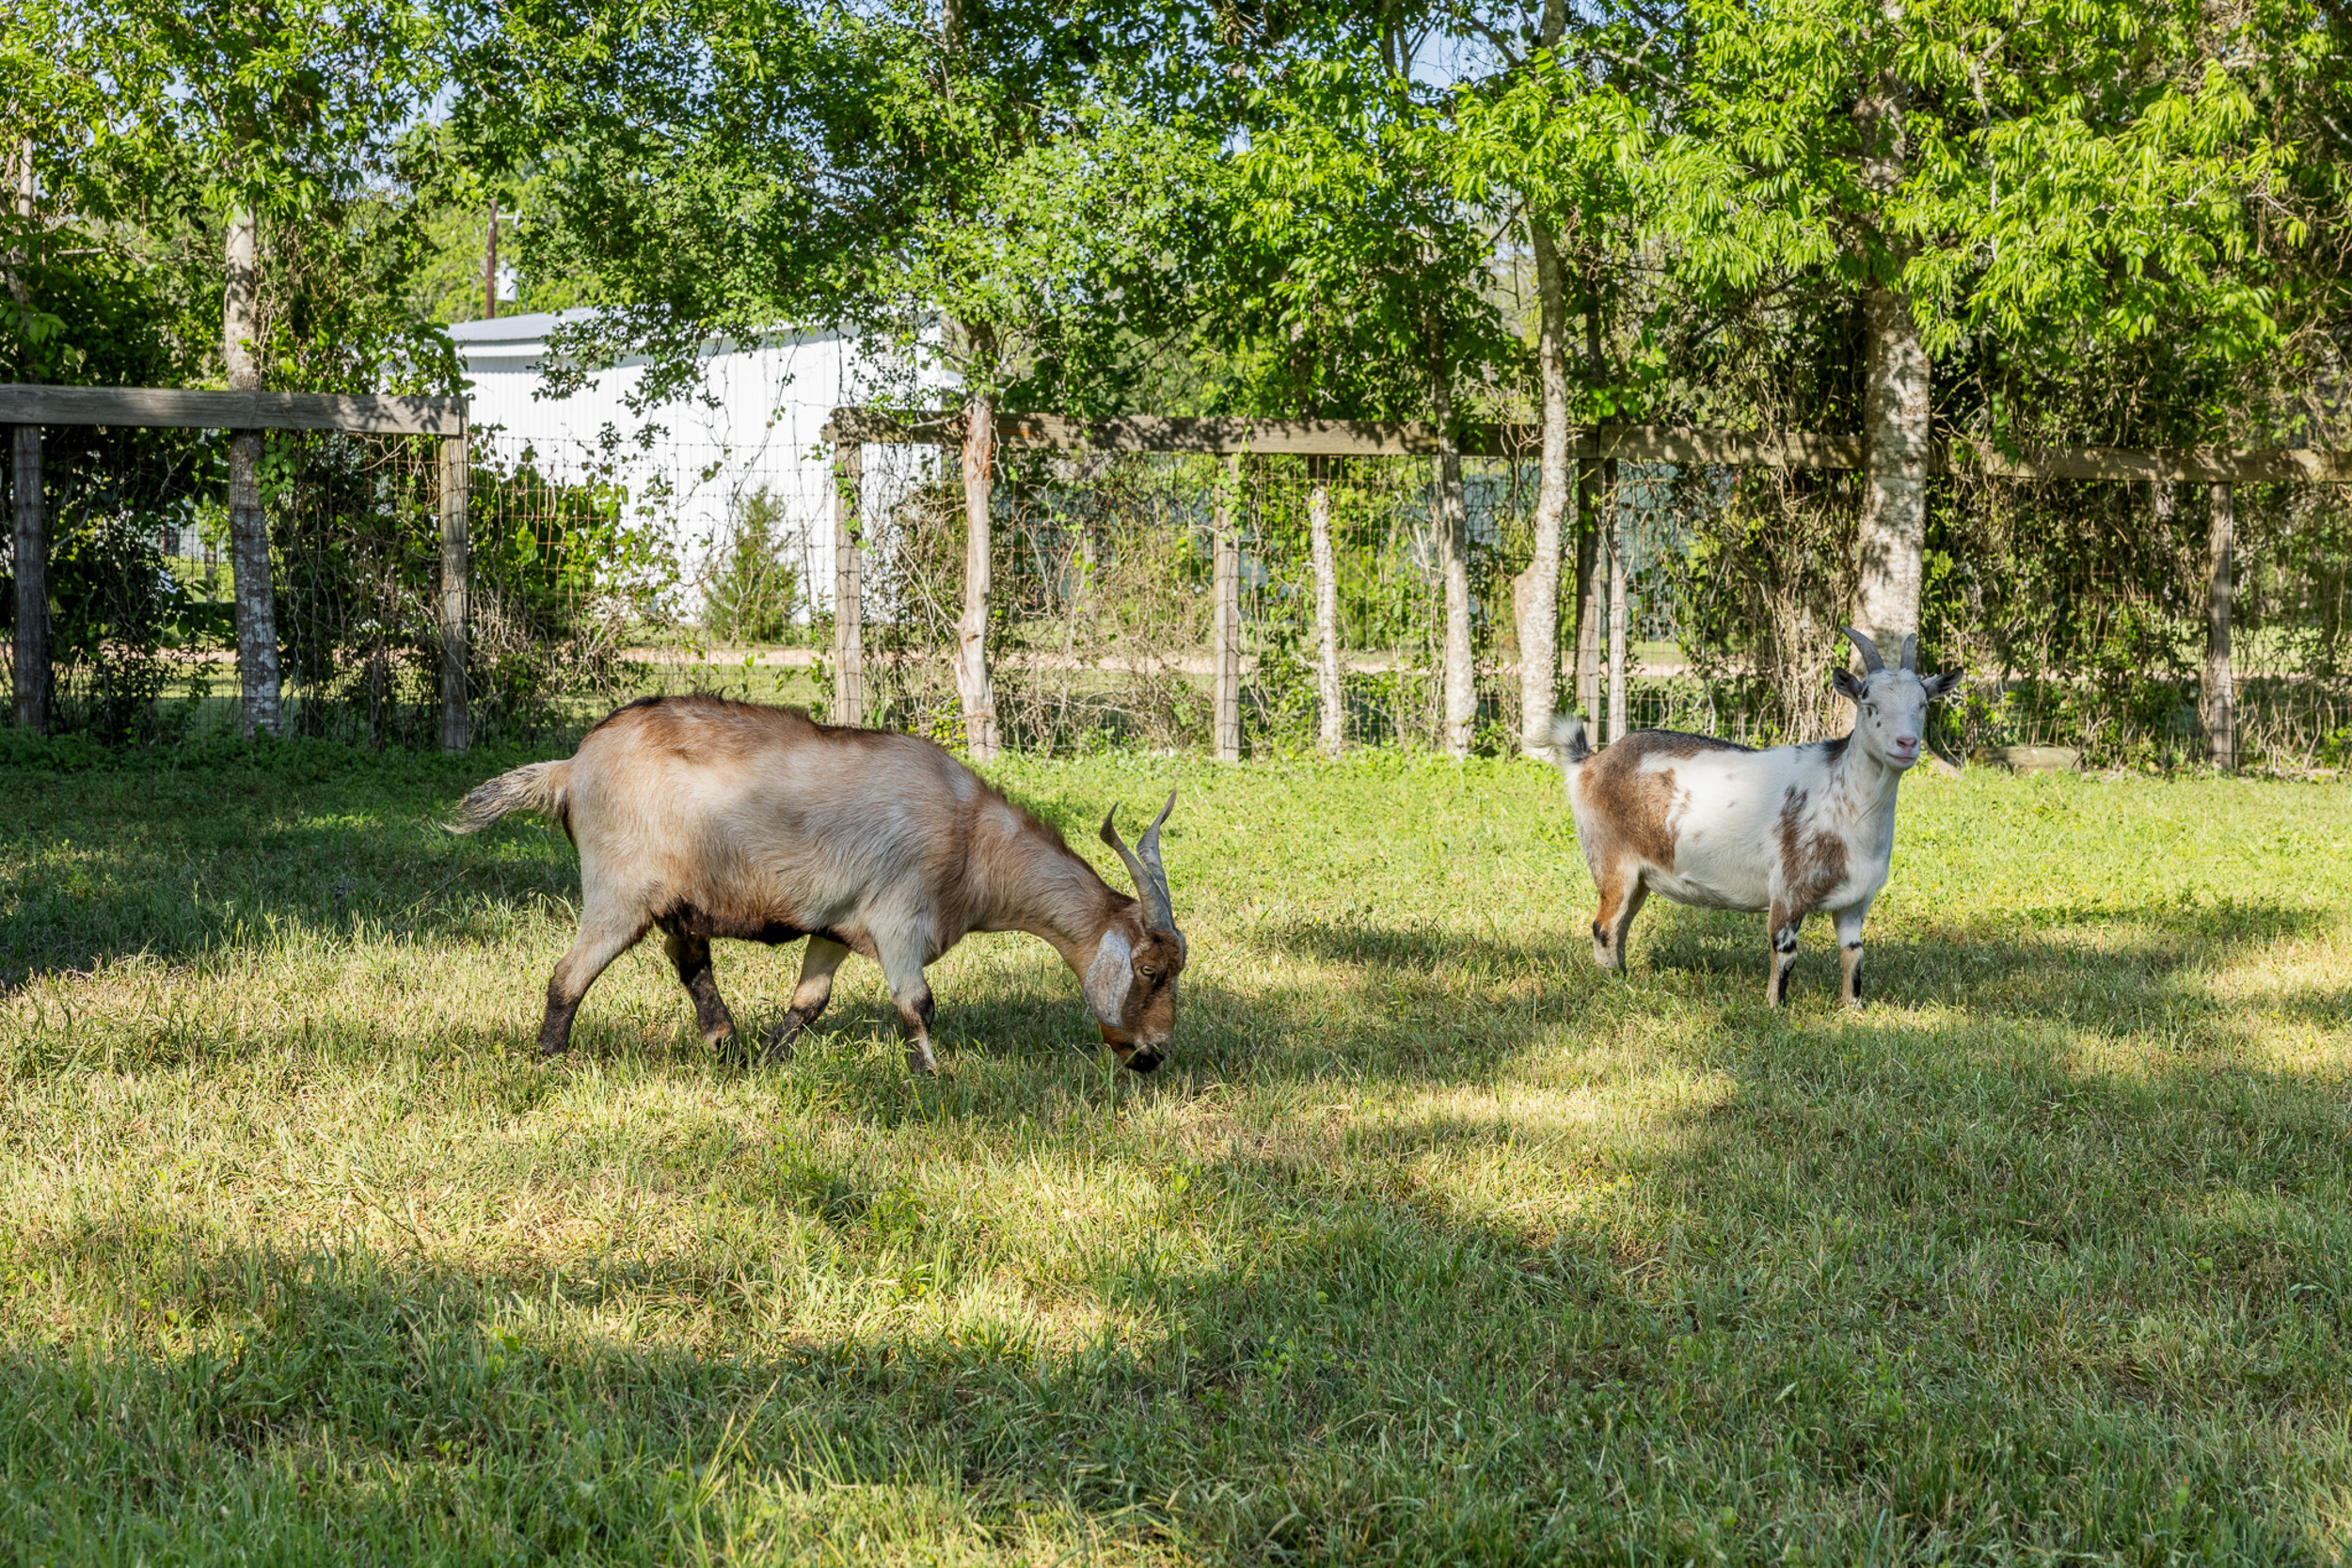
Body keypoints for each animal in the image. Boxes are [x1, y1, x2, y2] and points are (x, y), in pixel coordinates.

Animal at [450, 694, 1187, 1074]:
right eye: (1150, 971)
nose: (1153, 1054)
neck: (972, 834)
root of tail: (571, 768)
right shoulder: (899, 918)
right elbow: (917, 1004)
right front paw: (934, 1080)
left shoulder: (838, 924)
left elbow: (810, 1001)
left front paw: (770, 1062)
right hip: (619, 893)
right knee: (569, 973)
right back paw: (551, 1060)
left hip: (678, 900)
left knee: (688, 958)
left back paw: (725, 1045)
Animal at [1551, 628, 1960, 1006]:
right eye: (1868, 702)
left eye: (1923, 704)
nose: (1907, 743)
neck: (1845, 803)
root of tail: (1590, 762)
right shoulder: (1789, 889)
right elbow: (1784, 953)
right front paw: (1775, 1008)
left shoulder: (1855, 902)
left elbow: (1853, 955)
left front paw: (1852, 1008)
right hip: (1611, 859)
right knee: (1604, 925)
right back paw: (1614, 987)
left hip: (1640, 876)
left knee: (1621, 925)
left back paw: (1624, 976)